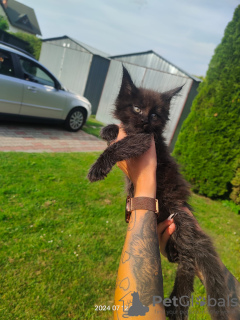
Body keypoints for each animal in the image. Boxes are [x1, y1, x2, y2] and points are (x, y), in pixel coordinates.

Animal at [88, 66, 229, 318]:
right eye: (137, 108)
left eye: (155, 114)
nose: (145, 119)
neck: (138, 130)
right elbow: (118, 133)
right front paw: (108, 129)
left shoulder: (145, 141)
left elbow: (121, 145)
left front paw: (98, 167)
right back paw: (172, 255)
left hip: (179, 220)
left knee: (188, 264)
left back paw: (177, 303)